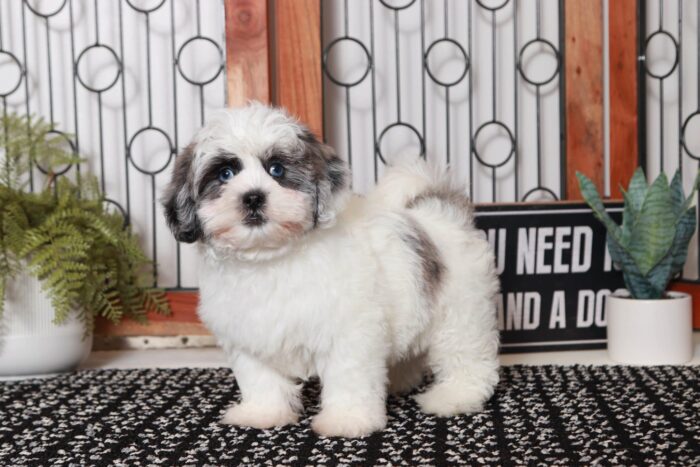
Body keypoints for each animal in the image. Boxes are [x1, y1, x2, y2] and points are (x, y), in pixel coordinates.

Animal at [161, 102, 500, 438]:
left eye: (277, 170)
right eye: (225, 174)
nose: (253, 196)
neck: (270, 259)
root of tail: (439, 210)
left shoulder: (350, 333)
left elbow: (349, 376)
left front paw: (348, 420)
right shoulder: (248, 337)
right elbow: (260, 379)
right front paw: (263, 413)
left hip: (461, 310)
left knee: (466, 355)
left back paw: (454, 396)